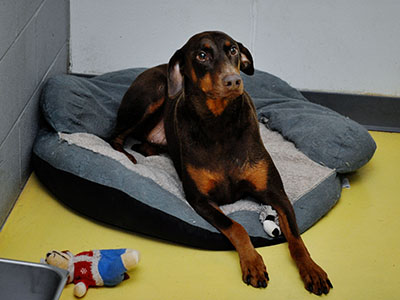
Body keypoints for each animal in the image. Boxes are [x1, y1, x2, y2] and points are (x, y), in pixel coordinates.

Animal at [111, 31, 332, 296]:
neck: (219, 123)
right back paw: (126, 156)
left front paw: (311, 269)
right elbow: (236, 227)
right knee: (114, 136)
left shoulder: (276, 193)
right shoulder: (201, 199)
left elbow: (296, 238)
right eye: (201, 55)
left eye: (233, 50)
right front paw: (253, 263)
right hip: (150, 94)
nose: (233, 80)